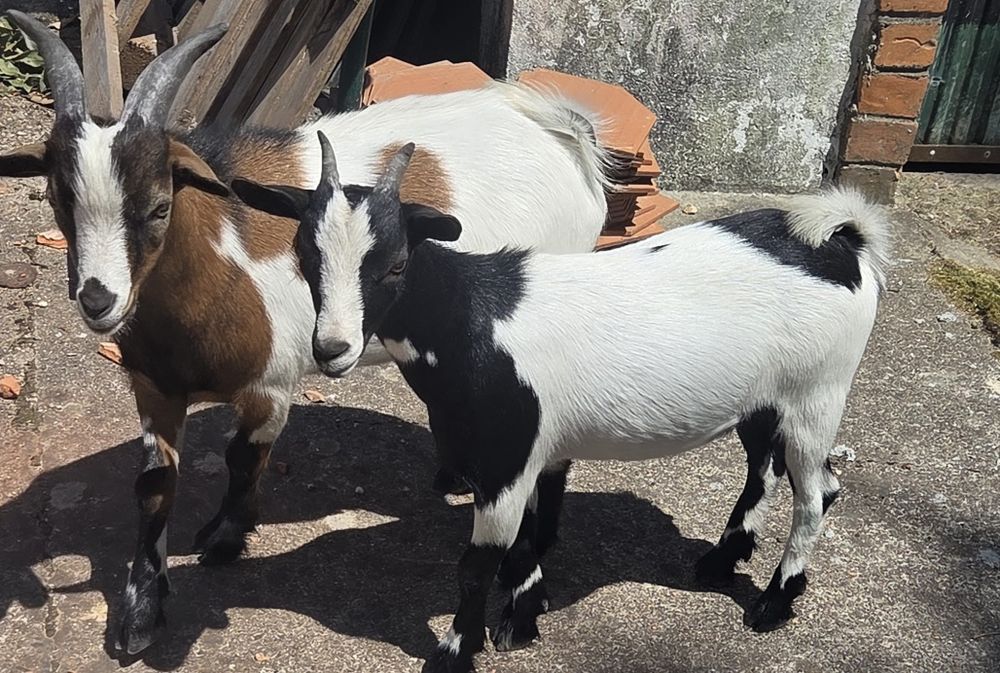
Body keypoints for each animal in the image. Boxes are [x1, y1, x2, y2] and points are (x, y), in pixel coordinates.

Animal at [0, 12, 611, 654]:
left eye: (160, 205)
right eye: (56, 200)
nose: (99, 299)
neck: (223, 250)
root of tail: (567, 135)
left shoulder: (269, 383)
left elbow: (242, 456)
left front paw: (224, 538)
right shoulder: (154, 385)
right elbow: (154, 484)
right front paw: (141, 612)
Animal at [235, 137, 890, 673]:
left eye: (396, 263)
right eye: (305, 257)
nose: (333, 349)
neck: (471, 317)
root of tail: (841, 243)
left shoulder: (507, 455)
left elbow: (477, 564)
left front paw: (455, 651)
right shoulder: (524, 454)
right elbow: (525, 538)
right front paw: (525, 613)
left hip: (818, 393)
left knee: (816, 492)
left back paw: (774, 601)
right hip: (766, 399)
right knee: (766, 467)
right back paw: (722, 560)